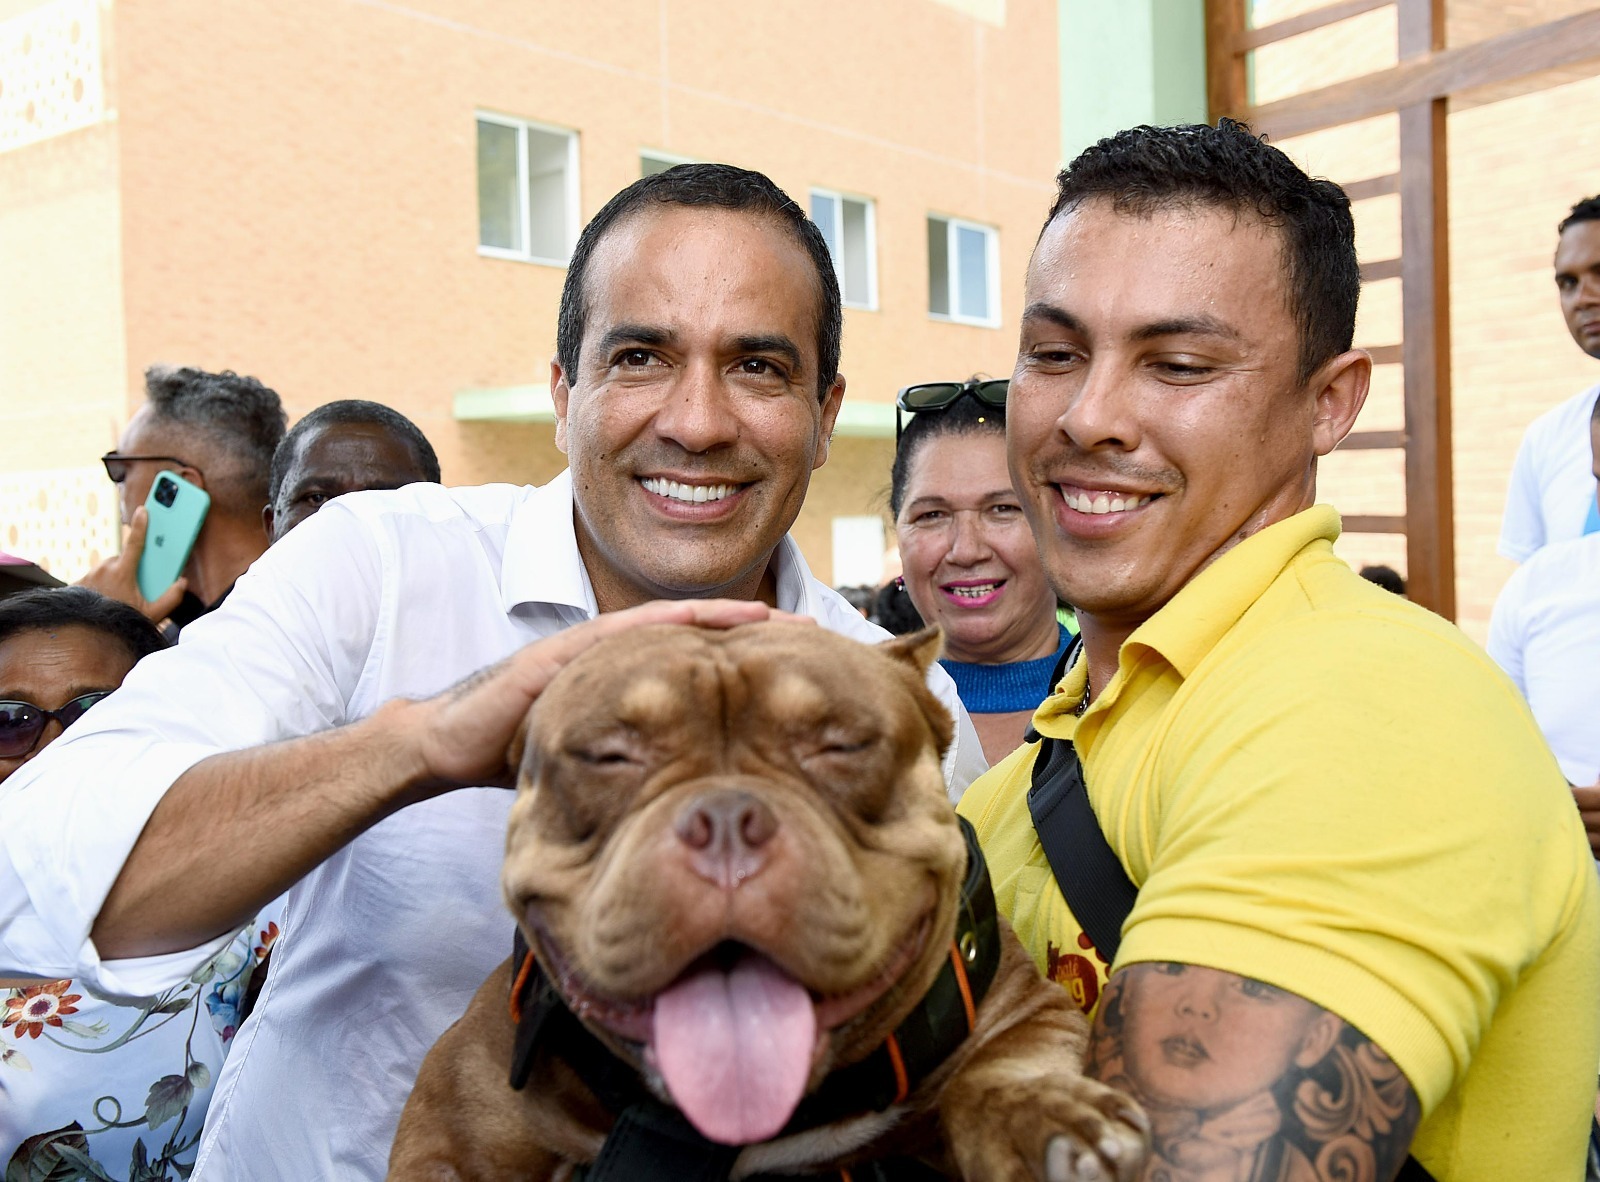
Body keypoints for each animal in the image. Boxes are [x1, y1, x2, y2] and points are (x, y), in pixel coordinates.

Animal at [392, 623, 1145, 1177]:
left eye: (843, 745)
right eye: (607, 755)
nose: (725, 821)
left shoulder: (1028, 1011)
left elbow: (1003, 1072)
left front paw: (1045, 1124)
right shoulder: (449, 1127)